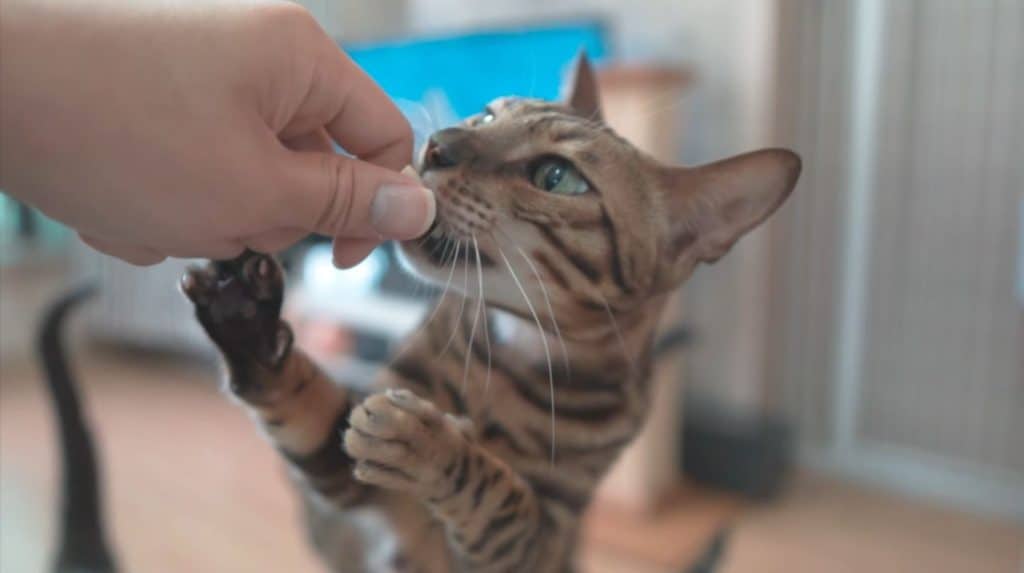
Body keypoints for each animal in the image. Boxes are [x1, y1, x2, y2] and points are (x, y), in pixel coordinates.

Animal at [180, 54, 798, 573]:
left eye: (556, 176)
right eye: (485, 115)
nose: (437, 143)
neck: (508, 355)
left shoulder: (540, 544)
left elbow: (500, 495)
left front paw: (429, 442)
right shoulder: (349, 484)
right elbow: (303, 404)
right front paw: (244, 321)